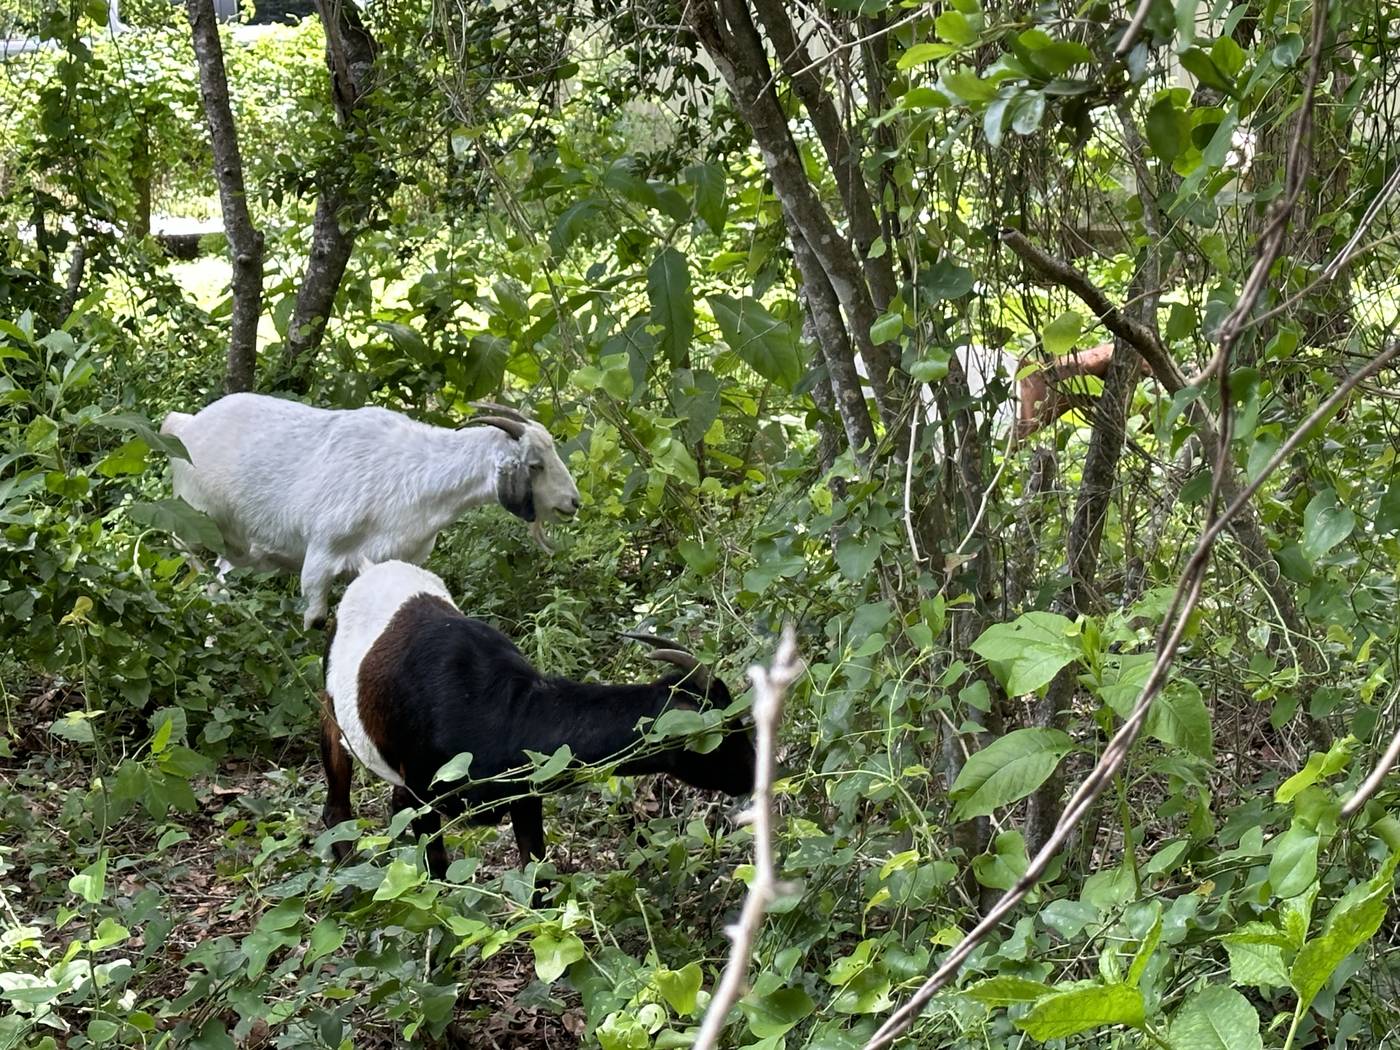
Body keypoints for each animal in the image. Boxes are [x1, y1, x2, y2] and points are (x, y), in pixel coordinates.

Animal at [160, 395, 580, 629]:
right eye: (535, 464)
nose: (573, 502)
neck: (413, 472)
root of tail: (184, 424)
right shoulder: (320, 556)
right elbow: (316, 619)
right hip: (194, 519)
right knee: (186, 554)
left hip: (239, 549)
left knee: (218, 579)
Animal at [320, 560, 755, 878]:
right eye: (723, 733)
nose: (754, 775)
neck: (501, 711)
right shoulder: (422, 796)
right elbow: (437, 871)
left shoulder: (524, 794)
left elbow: (538, 874)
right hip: (332, 716)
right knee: (336, 806)